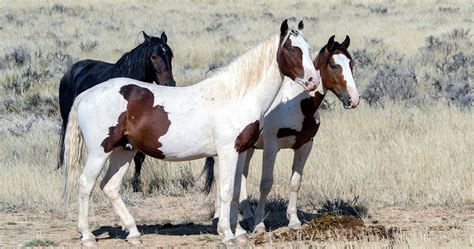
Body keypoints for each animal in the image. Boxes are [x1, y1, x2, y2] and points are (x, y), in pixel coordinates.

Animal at [57, 30, 176, 191]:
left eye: (170, 55)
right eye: (153, 56)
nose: (169, 83)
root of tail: (70, 71)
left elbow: (140, 157)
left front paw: (136, 185)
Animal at [205, 35, 360, 233]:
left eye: (351, 63)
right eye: (334, 65)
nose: (354, 99)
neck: (296, 104)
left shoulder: (305, 146)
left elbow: (295, 183)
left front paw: (293, 220)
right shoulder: (271, 147)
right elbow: (266, 184)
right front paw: (259, 224)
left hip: (247, 148)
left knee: (242, 175)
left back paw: (246, 215)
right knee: (219, 176)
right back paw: (219, 217)